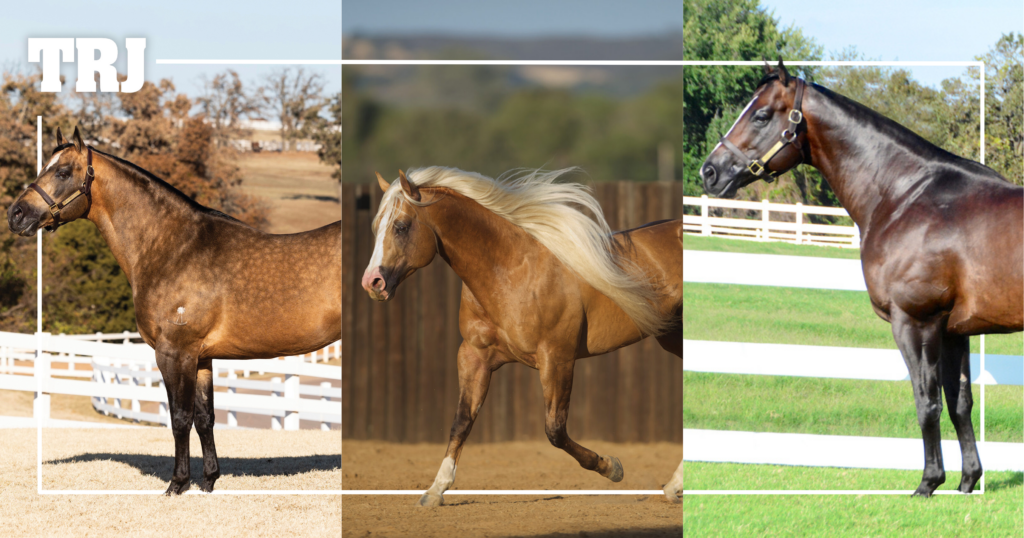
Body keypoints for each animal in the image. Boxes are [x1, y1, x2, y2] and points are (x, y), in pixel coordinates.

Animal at [7, 127, 342, 495]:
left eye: (63, 172)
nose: (16, 214)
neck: (174, 248)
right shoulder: (202, 357)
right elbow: (205, 418)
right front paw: (208, 481)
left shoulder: (174, 352)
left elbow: (179, 418)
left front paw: (177, 484)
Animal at [360, 167, 683, 505]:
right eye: (376, 227)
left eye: (401, 226)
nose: (372, 282)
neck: (509, 270)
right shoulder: (474, 357)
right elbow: (462, 421)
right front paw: (436, 490)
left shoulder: (556, 359)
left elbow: (555, 431)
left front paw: (612, 467)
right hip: (673, 336)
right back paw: (674, 487)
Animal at [701, 60, 1023, 497]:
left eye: (761, 115)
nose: (710, 172)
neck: (905, 196)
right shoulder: (954, 330)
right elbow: (960, 404)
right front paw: (967, 482)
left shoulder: (916, 322)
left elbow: (927, 403)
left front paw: (928, 483)